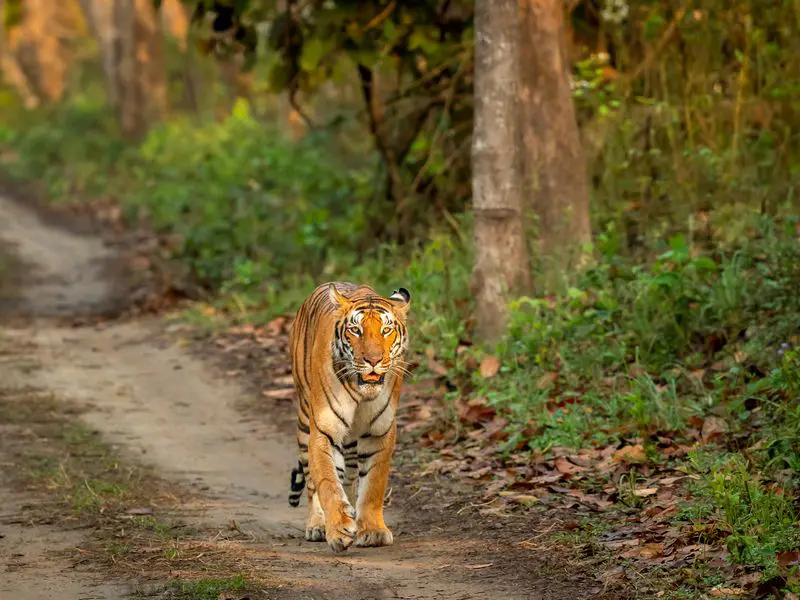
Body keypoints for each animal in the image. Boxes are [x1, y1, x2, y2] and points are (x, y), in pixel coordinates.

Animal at [287, 281, 411, 553]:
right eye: (355, 330)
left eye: (386, 330)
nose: (373, 360)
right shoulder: (324, 430)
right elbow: (328, 482)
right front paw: (339, 529)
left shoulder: (379, 432)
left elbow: (373, 485)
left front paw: (372, 530)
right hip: (304, 421)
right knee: (312, 481)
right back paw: (317, 525)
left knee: (352, 477)